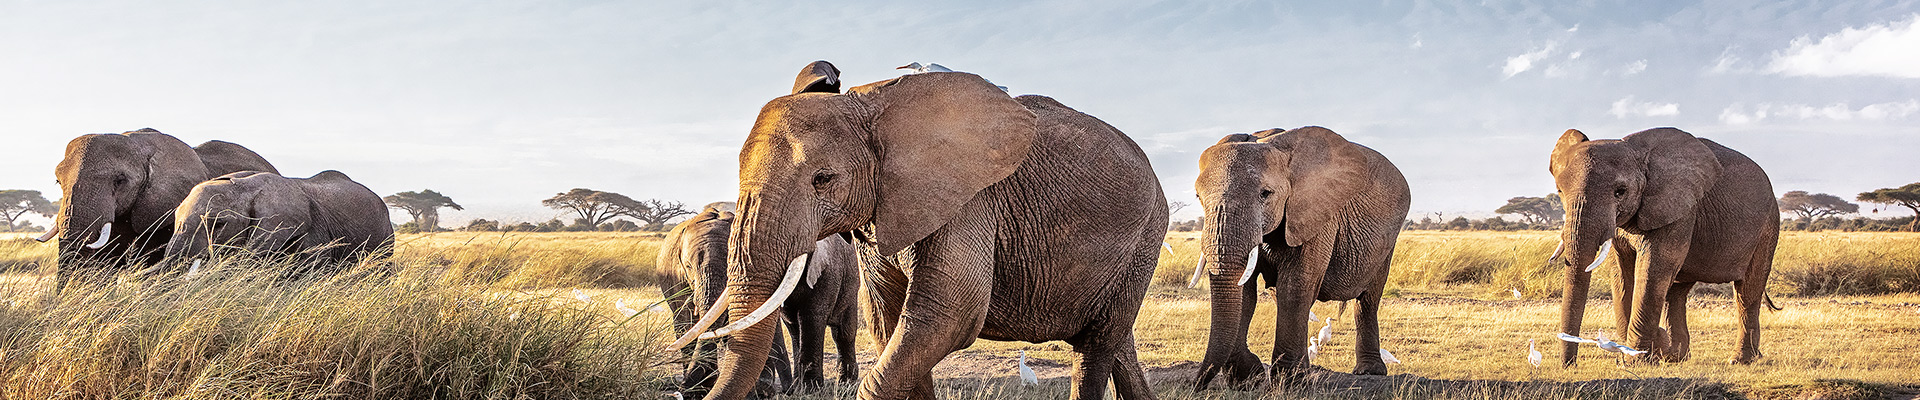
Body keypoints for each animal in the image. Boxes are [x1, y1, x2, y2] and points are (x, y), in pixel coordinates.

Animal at [660, 60, 1167, 400]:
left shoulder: (968, 201)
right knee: (1114, 342)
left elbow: (946, 317)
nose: (688, 392)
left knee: (1094, 352)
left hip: (1146, 236)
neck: (871, 102)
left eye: (823, 179)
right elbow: (888, 317)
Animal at [1182, 125, 1413, 388]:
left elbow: (1295, 286)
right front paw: (1248, 379)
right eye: (1198, 197)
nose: (1194, 385)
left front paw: (1290, 381)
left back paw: (1368, 372)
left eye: (1265, 194)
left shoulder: (1316, 216)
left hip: (1388, 241)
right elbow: (1245, 293)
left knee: (1368, 300)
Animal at [1551, 127, 1774, 365]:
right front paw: (1644, 352)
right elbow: (1621, 273)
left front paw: (1637, 360)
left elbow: (1653, 269)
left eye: (1620, 191)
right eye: (1560, 192)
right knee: (1676, 291)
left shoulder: (1679, 209)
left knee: (1747, 292)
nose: (1569, 365)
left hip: (1767, 227)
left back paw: (1740, 359)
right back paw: (1675, 356)